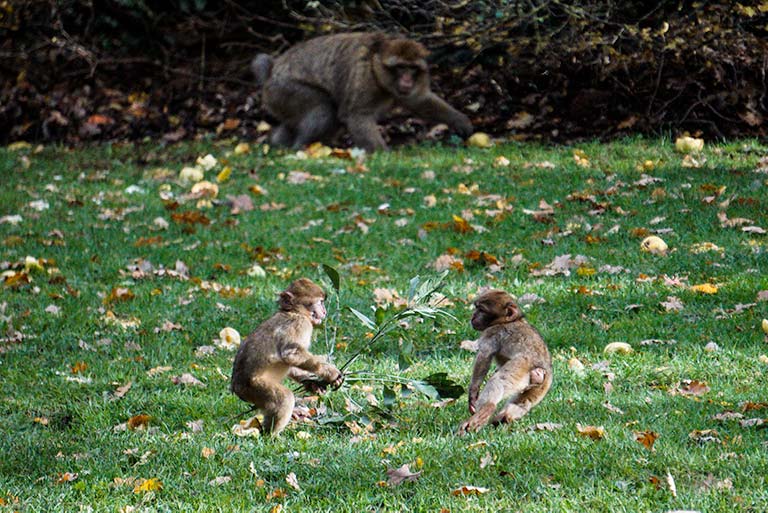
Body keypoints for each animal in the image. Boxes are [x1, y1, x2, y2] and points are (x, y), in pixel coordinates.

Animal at [230, 278, 344, 434]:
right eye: (320, 302)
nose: (324, 311)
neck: (294, 312)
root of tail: (235, 386)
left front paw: (312, 383)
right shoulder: (300, 324)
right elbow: (291, 354)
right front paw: (331, 373)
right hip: (252, 387)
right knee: (285, 398)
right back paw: (271, 435)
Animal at [250, 32, 474, 151]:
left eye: (412, 68)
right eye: (401, 67)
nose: (407, 79)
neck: (376, 66)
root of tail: (271, 71)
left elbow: (420, 100)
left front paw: (460, 121)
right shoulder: (363, 77)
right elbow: (356, 115)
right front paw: (385, 155)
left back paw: (280, 142)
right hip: (284, 90)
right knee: (324, 109)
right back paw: (301, 148)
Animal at [456, 288, 552, 432]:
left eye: (481, 310)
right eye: (476, 308)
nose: (473, 316)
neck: (508, 321)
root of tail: (541, 372)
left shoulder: (491, 332)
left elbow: (484, 355)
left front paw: (473, 393)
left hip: (521, 365)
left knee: (498, 381)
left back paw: (486, 409)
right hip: (542, 386)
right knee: (524, 402)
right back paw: (504, 418)